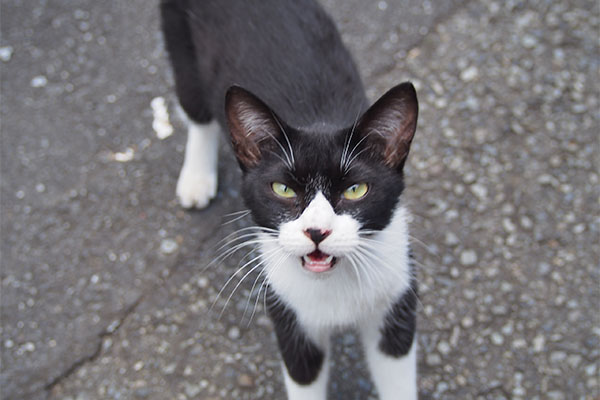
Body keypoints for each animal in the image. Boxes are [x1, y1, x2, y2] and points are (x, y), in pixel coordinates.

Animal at [162, 1, 420, 398]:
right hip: (179, 40)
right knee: (195, 106)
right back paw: (196, 178)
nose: (317, 231)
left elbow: (396, 371)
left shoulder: (395, 295)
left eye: (355, 190)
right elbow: (303, 375)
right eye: (283, 189)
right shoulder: (289, 312)